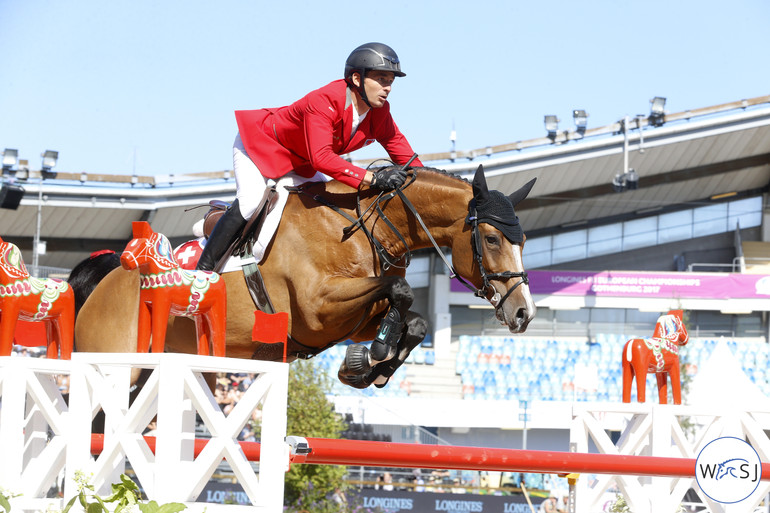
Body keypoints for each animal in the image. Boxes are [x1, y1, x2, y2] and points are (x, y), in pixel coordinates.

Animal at [75, 166, 536, 390]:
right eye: (492, 238)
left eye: (525, 240)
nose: (523, 314)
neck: (361, 227)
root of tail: (106, 278)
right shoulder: (318, 310)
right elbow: (402, 289)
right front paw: (371, 358)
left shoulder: (353, 318)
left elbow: (416, 319)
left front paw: (368, 368)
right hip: (116, 366)